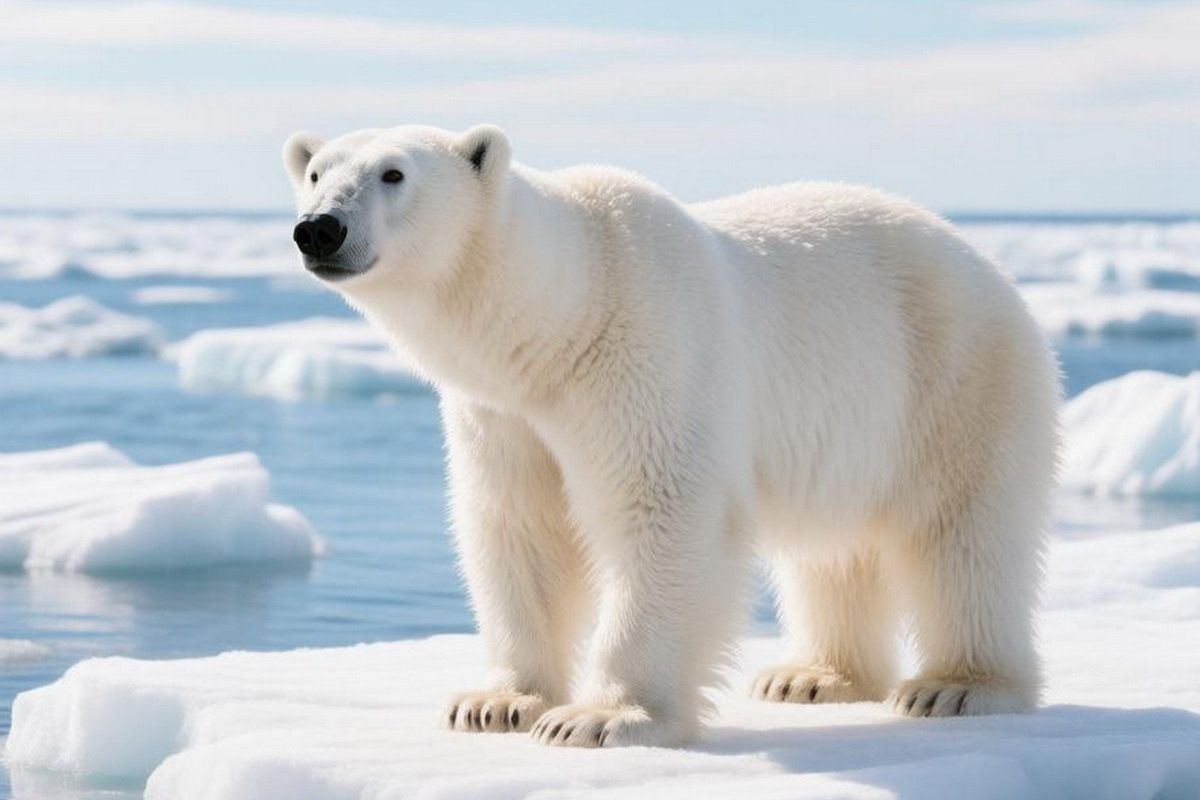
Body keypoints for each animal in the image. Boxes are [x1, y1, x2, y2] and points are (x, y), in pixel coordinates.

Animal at [283, 124, 1059, 748]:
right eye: (317, 171)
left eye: (394, 174)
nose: (319, 228)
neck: (562, 319)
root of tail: (985, 263)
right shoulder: (503, 413)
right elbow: (521, 528)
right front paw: (495, 703)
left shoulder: (647, 354)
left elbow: (661, 511)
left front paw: (603, 718)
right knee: (834, 551)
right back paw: (812, 677)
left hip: (953, 375)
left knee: (964, 534)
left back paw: (957, 685)